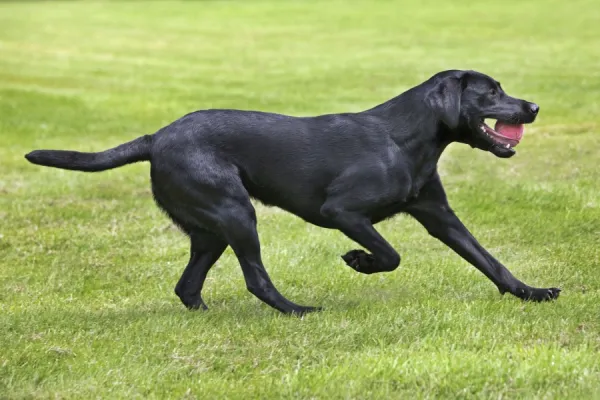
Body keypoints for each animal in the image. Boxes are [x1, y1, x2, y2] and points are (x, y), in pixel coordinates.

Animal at [25, 71, 560, 316]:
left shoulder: (440, 216)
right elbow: (391, 254)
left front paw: (533, 292)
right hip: (237, 214)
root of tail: (155, 138)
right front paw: (359, 262)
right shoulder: (342, 211)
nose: (534, 106)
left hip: (211, 230)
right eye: (491, 92)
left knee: (187, 285)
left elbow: (490, 261)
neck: (407, 139)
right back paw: (298, 311)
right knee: (255, 279)